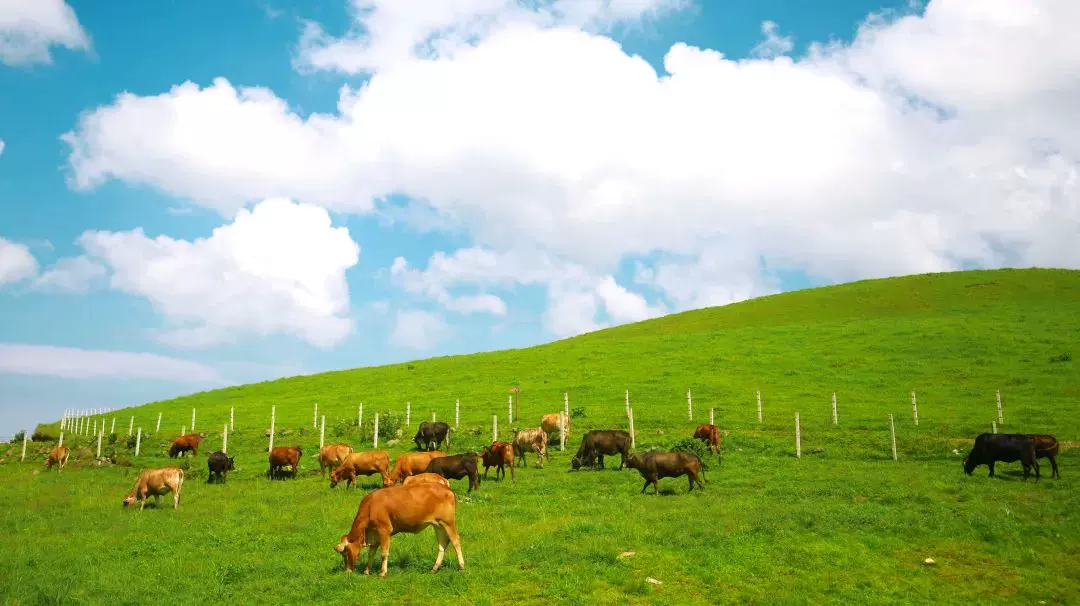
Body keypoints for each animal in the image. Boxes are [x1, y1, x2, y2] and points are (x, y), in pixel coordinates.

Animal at [330, 479, 462, 574]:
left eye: (345, 552)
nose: (347, 571)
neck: (371, 506)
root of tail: (446, 488)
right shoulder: (375, 533)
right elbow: (371, 553)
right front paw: (366, 571)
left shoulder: (384, 530)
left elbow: (384, 553)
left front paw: (383, 573)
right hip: (438, 525)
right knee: (442, 544)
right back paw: (434, 569)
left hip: (448, 522)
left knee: (455, 541)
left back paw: (461, 567)